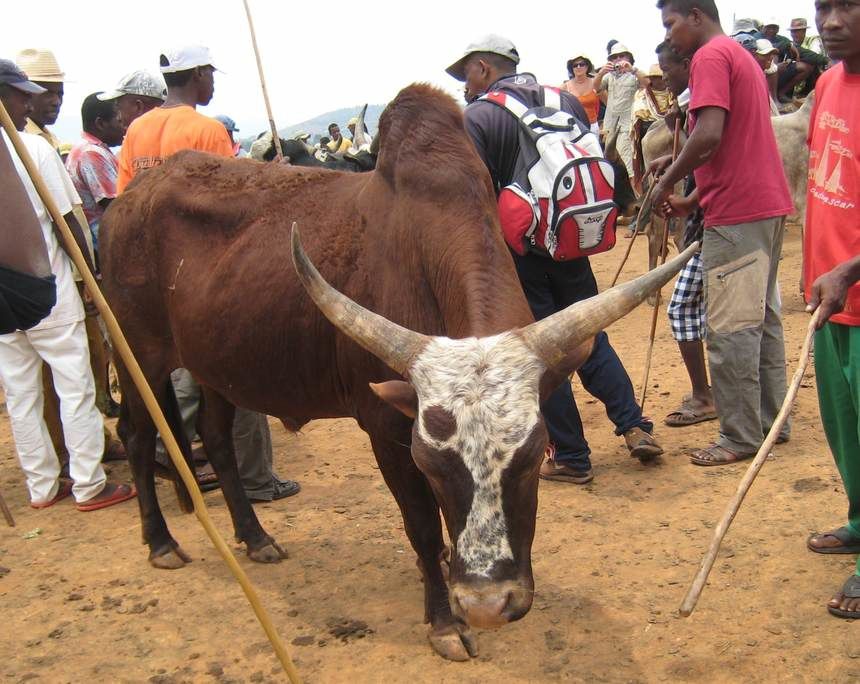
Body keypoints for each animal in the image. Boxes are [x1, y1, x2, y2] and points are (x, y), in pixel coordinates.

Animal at [101, 83, 692, 660]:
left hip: (216, 364)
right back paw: (162, 542)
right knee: (136, 434)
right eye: (431, 466)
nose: (486, 605)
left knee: (216, 437)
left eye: (530, 459)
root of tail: (126, 201)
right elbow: (424, 530)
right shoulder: (386, 431)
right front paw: (444, 621)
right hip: (138, 353)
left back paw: (255, 537)